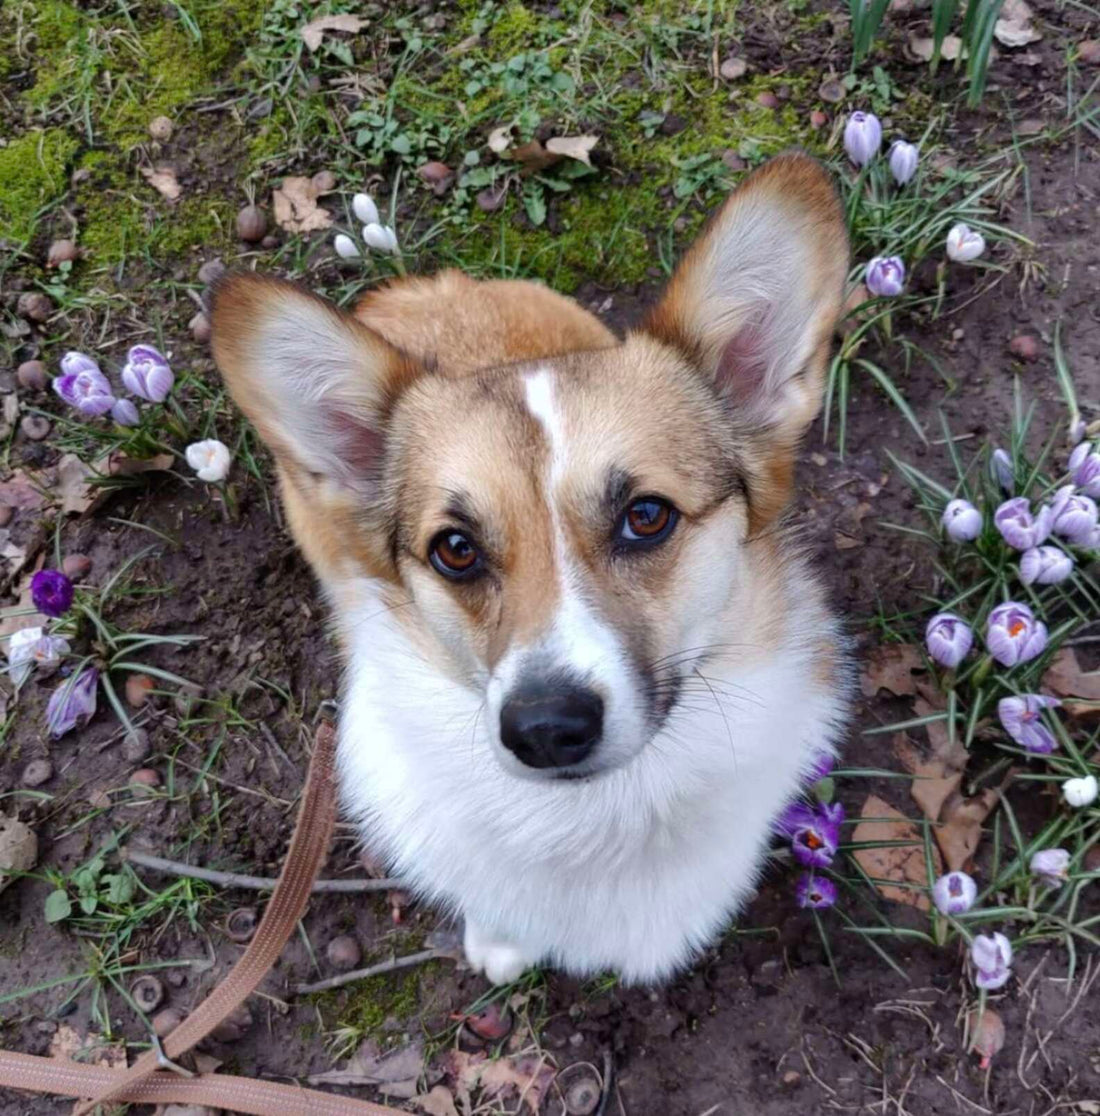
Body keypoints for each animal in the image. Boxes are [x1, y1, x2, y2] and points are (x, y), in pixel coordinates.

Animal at [211, 150, 847, 986]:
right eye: (455, 549)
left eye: (647, 516)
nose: (545, 730)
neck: (605, 815)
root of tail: (408, 286)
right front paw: (501, 943)